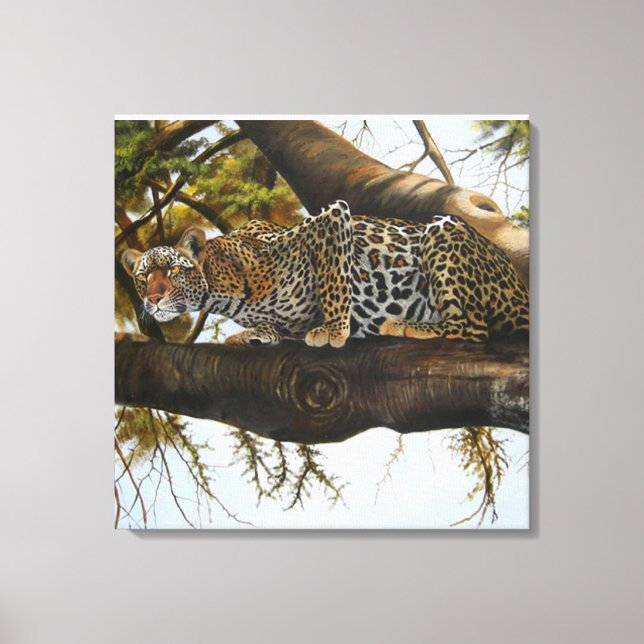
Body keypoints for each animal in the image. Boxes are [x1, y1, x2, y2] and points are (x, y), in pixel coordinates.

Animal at [121, 200, 529, 348]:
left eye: (174, 270)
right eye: (142, 277)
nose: (153, 298)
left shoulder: (334, 216)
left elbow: (336, 279)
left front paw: (334, 329)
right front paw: (255, 334)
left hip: (443, 230)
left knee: (470, 329)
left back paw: (407, 326)